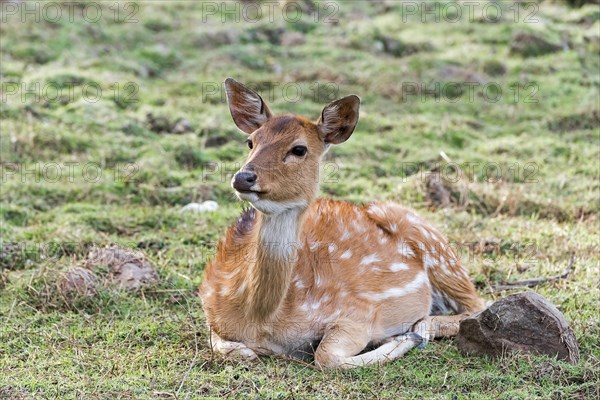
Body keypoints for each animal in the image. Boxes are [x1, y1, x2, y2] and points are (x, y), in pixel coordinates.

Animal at [199, 78, 486, 368]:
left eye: (299, 149)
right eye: (251, 141)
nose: (243, 177)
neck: (261, 320)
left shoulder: (359, 311)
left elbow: (326, 356)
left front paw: (403, 337)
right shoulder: (211, 309)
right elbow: (229, 347)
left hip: (438, 252)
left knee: (475, 306)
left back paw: (419, 329)